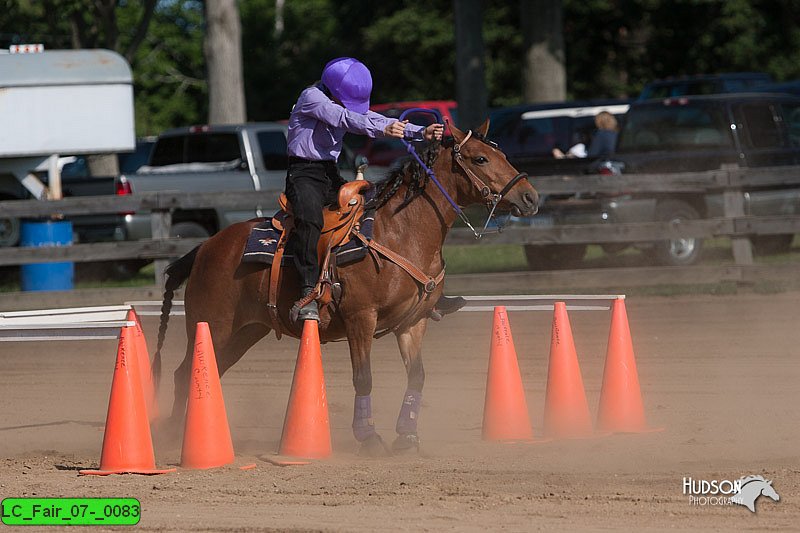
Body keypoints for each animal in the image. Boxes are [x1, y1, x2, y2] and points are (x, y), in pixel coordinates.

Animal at [152, 119, 536, 454]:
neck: (401, 233)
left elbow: (417, 376)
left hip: (244, 332)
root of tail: (206, 247)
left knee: (208, 370)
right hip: (211, 327)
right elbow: (363, 377)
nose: (530, 196)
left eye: (501, 154)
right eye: (480, 158)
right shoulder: (360, 319)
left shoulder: (413, 322)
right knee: (184, 374)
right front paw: (369, 439)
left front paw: (406, 436)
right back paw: (174, 436)